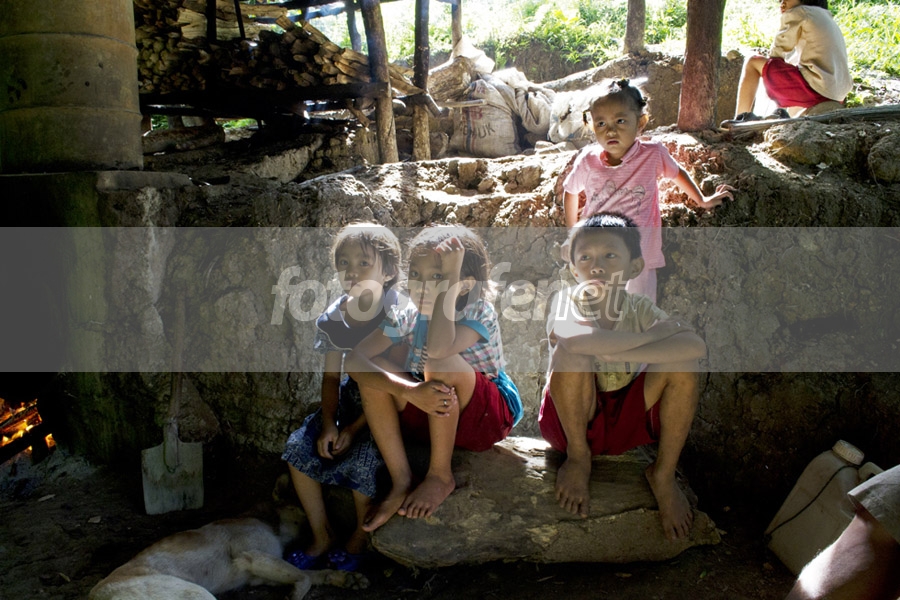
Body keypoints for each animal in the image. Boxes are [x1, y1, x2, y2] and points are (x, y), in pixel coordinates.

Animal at [89, 505, 368, 600]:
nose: (335, 531)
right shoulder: (255, 556)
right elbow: (305, 577)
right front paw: (297, 593)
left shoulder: (260, 573)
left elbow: (311, 572)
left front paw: (345, 578)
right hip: (195, 593)